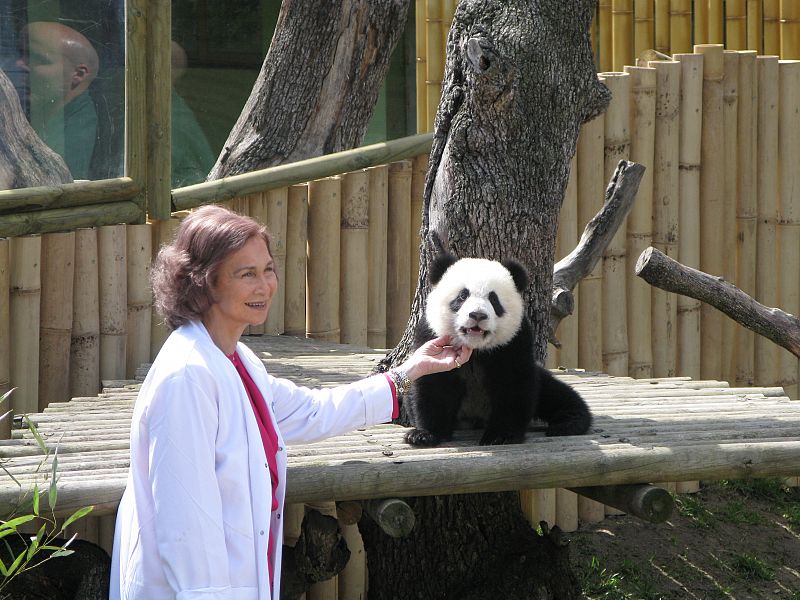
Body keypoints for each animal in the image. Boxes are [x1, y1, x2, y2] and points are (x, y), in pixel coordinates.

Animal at [403, 253, 592, 447]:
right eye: (462, 296)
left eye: (494, 300)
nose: (477, 315)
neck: (475, 349)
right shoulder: (431, 334)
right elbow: (433, 383)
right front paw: (425, 434)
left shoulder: (514, 341)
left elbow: (512, 385)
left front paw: (501, 435)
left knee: (553, 393)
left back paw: (569, 422)